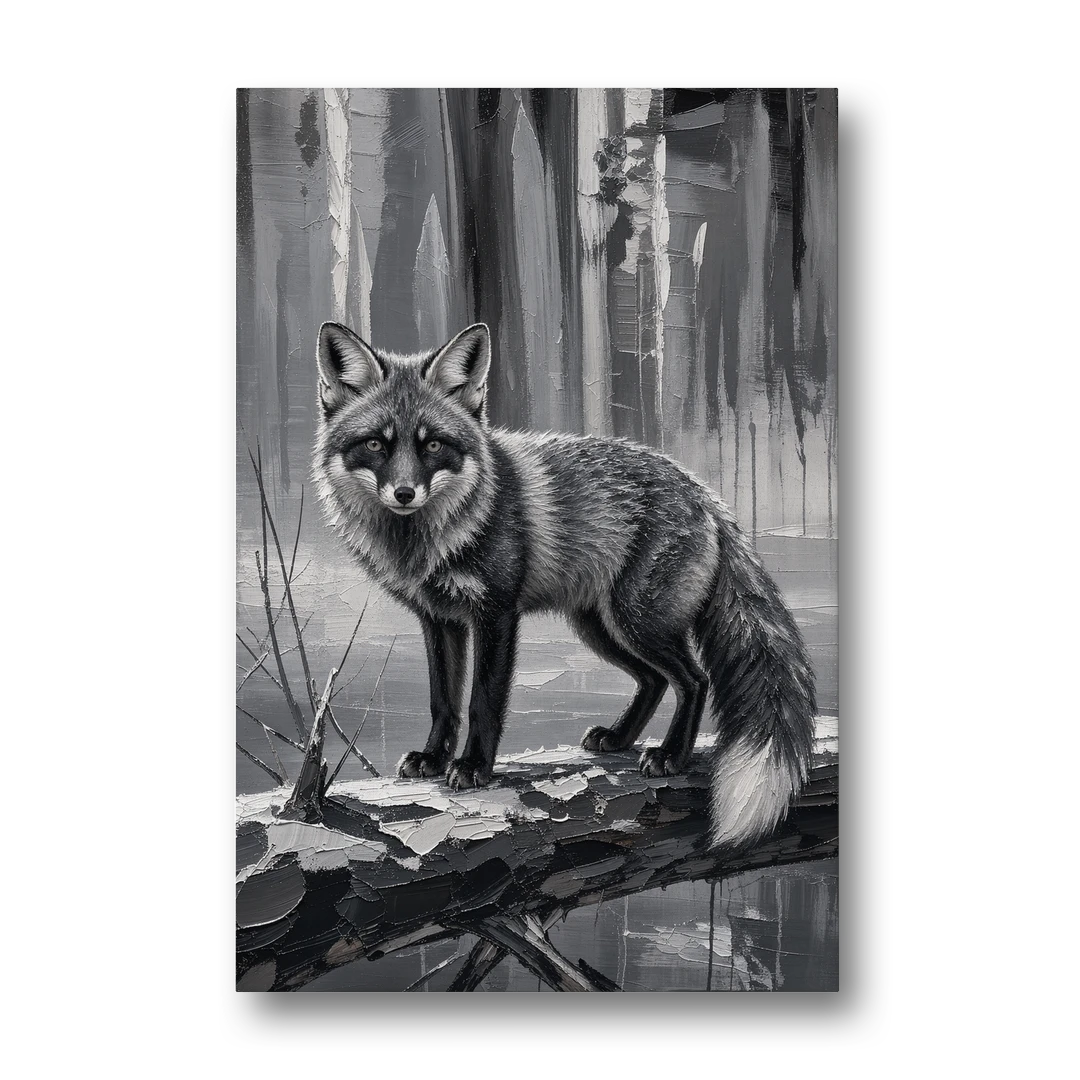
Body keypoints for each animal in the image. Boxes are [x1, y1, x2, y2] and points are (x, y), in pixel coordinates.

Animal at [313, 320, 816, 848]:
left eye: (432, 445)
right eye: (376, 444)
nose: (405, 493)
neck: (431, 541)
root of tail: (705, 494)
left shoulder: (496, 614)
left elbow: (482, 701)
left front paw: (473, 767)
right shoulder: (439, 620)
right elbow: (443, 702)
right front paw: (433, 758)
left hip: (638, 622)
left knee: (694, 679)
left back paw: (670, 756)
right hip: (600, 629)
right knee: (655, 680)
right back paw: (619, 738)